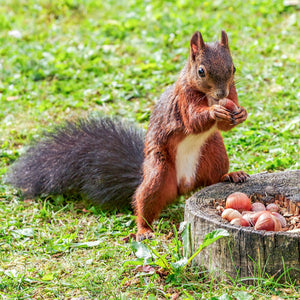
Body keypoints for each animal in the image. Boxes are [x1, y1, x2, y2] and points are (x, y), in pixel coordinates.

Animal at [6, 31, 248, 241]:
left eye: (233, 68)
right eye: (201, 71)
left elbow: (225, 124)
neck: (207, 95)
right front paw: (214, 112)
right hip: (159, 173)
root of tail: (184, 185)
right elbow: (192, 121)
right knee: (144, 200)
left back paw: (230, 175)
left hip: (214, 152)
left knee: (211, 178)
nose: (222, 94)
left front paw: (241, 113)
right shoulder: (183, 98)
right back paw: (143, 230)